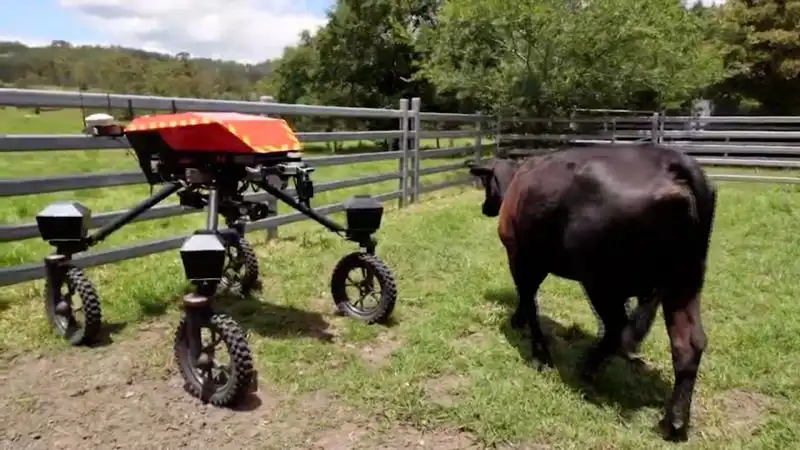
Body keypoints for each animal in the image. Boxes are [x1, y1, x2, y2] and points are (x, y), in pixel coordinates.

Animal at [466, 145, 716, 442]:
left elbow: (528, 297)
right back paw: (674, 422)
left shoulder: (519, 254)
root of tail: (671, 161)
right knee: (688, 343)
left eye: (485, 183)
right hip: (685, 283)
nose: (484, 208)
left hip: (602, 281)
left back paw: (586, 369)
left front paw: (538, 351)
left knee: (617, 327)